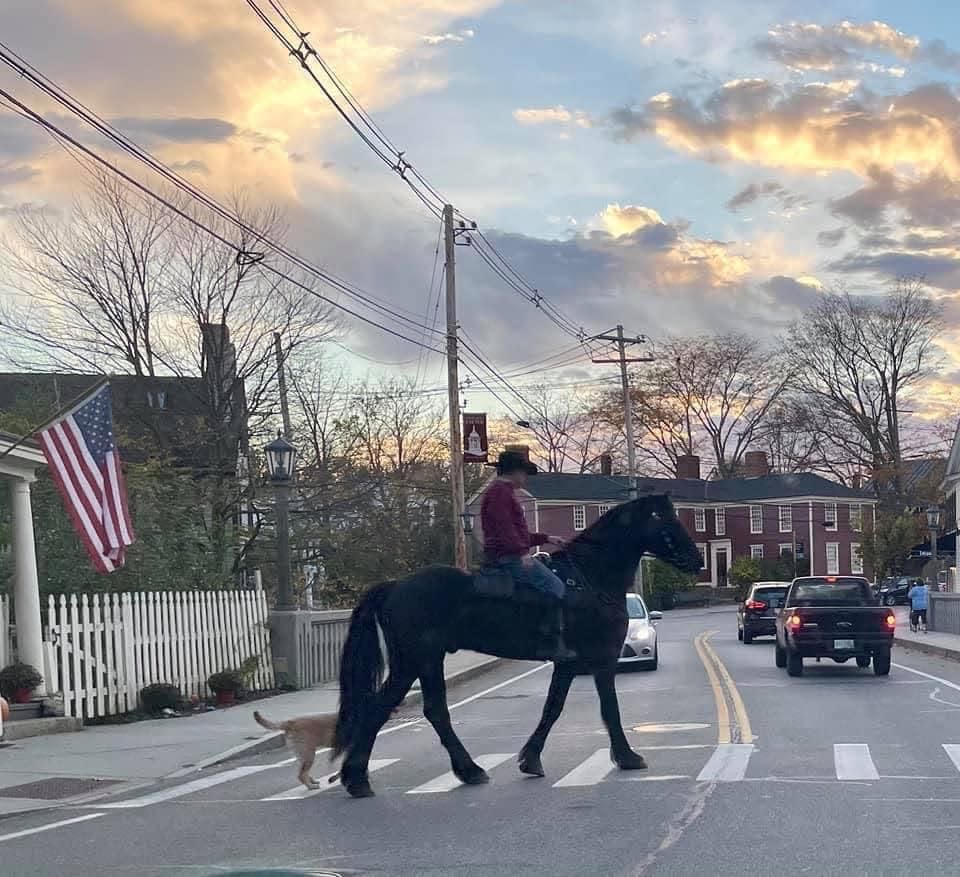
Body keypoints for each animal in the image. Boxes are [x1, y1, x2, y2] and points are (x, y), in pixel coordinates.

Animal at [330, 490, 696, 796]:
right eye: (666, 520)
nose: (697, 559)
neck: (591, 576)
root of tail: (395, 586)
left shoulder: (568, 663)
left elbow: (552, 708)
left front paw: (530, 759)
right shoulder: (602, 659)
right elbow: (610, 708)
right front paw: (627, 756)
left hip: (423, 661)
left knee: (422, 711)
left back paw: (455, 771)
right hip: (415, 660)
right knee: (391, 709)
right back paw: (365, 778)